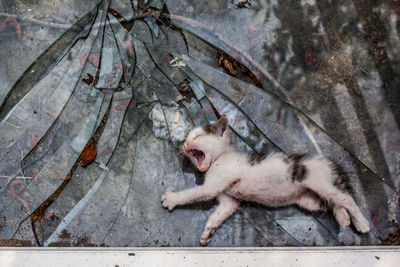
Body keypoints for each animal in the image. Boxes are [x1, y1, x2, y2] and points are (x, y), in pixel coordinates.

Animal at [161, 116, 370, 246]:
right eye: (187, 138)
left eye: (197, 136)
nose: (185, 144)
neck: (220, 158)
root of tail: (326, 163)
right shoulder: (229, 201)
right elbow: (219, 214)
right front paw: (208, 232)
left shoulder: (214, 185)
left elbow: (194, 193)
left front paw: (172, 198)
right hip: (310, 200)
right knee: (334, 201)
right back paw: (343, 218)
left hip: (317, 181)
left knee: (345, 198)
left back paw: (361, 223)